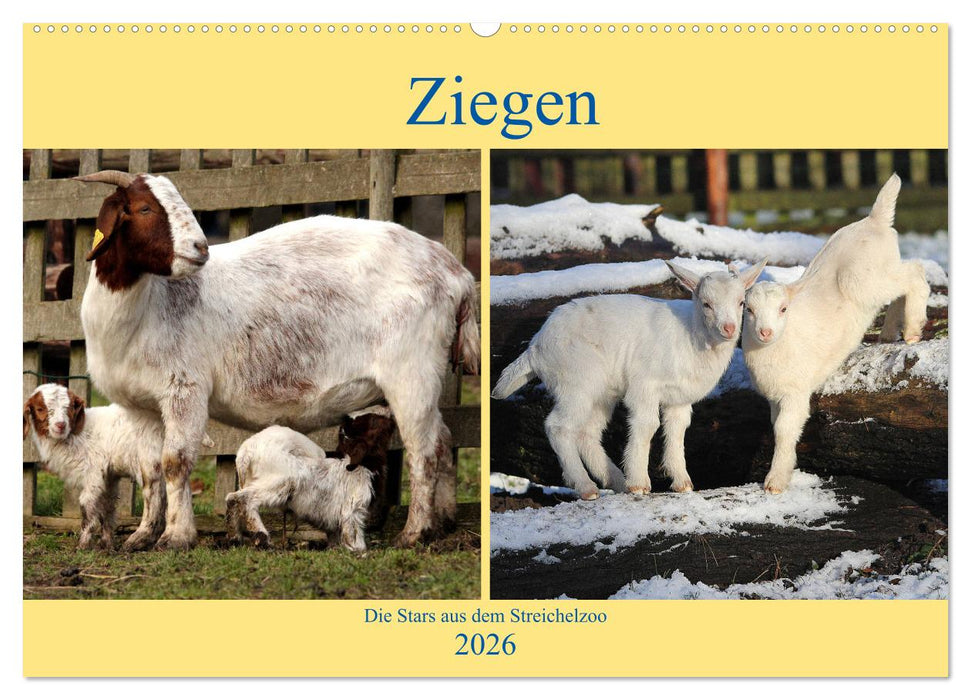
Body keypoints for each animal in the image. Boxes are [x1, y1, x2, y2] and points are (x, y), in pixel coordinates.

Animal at [226, 411, 397, 551]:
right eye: (373, 421)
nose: (391, 417)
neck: (364, 466)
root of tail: (246, 451)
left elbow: (334, 535)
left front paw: (334, 548)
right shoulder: (353, 509)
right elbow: (354, 535)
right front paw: (358, 551)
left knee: (232, 499)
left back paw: (234, 537)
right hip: (281, 483)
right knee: (242, 498)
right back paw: (262, 538)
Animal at [492, 259, 766, 498]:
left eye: (742, 302)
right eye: (706, 304)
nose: (729, 328)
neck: (690, 334)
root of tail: (535, 348)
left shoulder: (679, 398)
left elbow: (676, 431)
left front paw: (682, 483)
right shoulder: (644, 384)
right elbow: (647, 425)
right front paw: (639, 484)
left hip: (601, 393)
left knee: (587, 433)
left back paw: (615, 480)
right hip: (576, 381)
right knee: (558, 427)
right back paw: (587, 487)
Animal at [742, 174, 930, 494]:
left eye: (783, 309)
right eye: (748, 309)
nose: (765, 332)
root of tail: (874, 220)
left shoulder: (794, 391)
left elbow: (784, 430)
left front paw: (775, 482)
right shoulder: (774, 395)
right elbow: (778, 427)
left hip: (865, 279)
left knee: (915, 272)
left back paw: (914, 330)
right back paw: (889, 333)